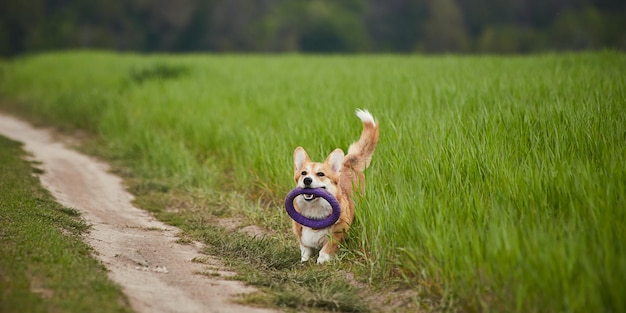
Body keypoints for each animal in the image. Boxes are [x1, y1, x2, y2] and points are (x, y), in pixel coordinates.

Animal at [292, 108, 378, 262]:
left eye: (320, 174)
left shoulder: (338, 231)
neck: (314, 210)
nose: (307, 180)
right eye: (303, 173)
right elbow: (305, 248)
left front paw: (322, 261)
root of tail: (347, 163)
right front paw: (304, 260)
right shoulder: (300, 233)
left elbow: (326, 248)